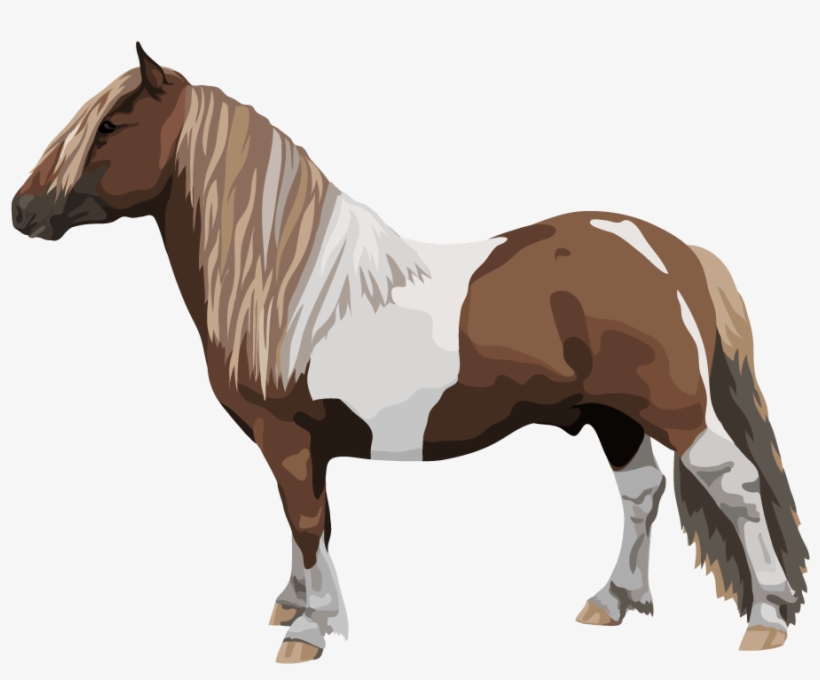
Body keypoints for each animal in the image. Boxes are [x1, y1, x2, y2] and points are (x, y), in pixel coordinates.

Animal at [11, 43, 808, 664]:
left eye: (111, 124)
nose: (22, 210)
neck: (289, 280)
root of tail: (664, 249)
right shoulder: (293, 447)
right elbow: (304, 523)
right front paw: (293, 604)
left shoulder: (287, 439)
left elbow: (307, 523)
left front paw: (308, 631)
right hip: (614, 415)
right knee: (640, 492)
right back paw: (613, 600)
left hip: (672, 409)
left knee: (734, 484)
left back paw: (767, 619)